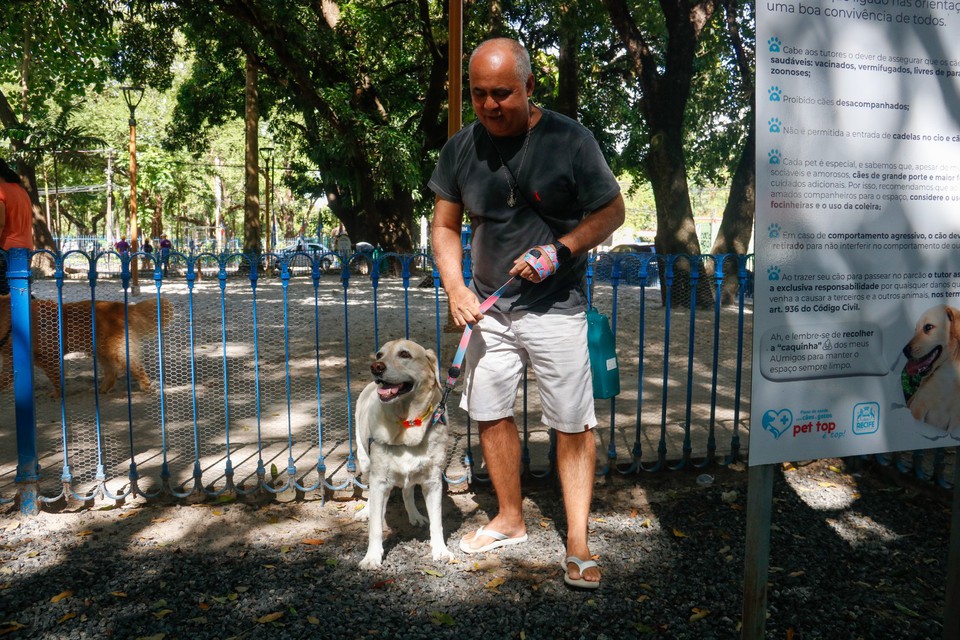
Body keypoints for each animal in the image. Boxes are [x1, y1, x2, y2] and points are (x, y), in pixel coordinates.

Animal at [0, 296, 172, 396]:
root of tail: (120, 307)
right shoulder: (10, 363)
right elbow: (3, 379)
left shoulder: (49, 359)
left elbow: (56, 379)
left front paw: (58, 395)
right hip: (101, 352)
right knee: (112, 373)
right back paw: (102, 389)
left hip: (116, 351)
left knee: (136, 367)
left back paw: (146, 386)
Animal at [354, 340, 452, 568]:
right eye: (379, 354)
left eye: (404, 354)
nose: (376, 367)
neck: (407, 424)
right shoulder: (379, 480)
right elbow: (375, 528)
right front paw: (372, 557)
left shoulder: (433, 482)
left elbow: (437, 523)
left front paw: (440, 550)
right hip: (365, 462)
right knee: (370, 494)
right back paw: (366, 511)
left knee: (407, 491)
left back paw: (415, 515)